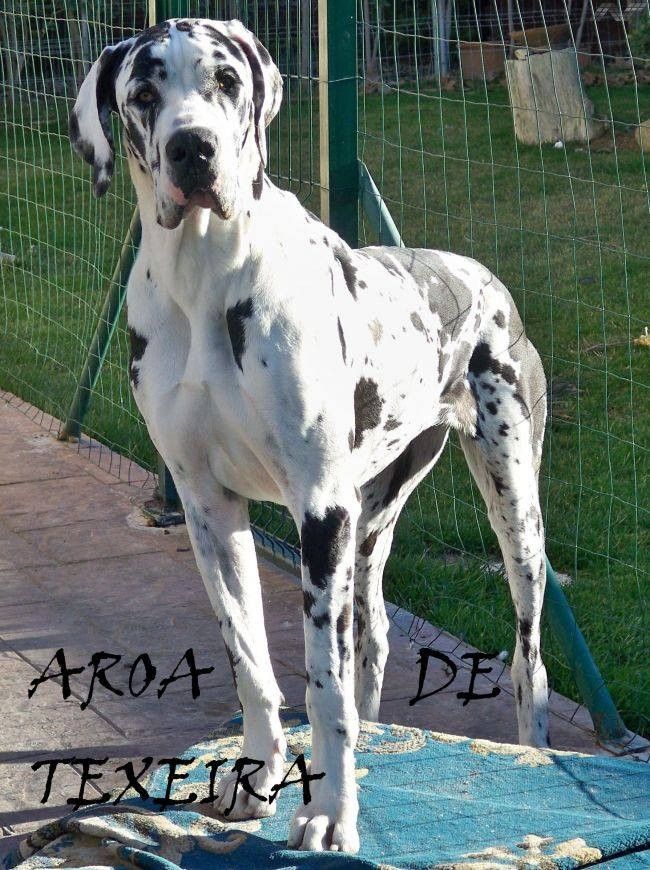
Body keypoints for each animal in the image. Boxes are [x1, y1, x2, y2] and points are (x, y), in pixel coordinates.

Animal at [70, 18, 550, 853]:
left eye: (227, 81)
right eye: (144, 93)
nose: (193, 150)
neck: (205, 278)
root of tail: (482, 278)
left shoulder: (318, 511)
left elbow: (322, 680)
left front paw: (330, 811)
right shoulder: (208, 509)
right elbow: (251, 660)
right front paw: (257, 777)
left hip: (509, 507)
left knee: (527, 659)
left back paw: (529, 749)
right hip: (372, 515)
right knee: (376, 633)